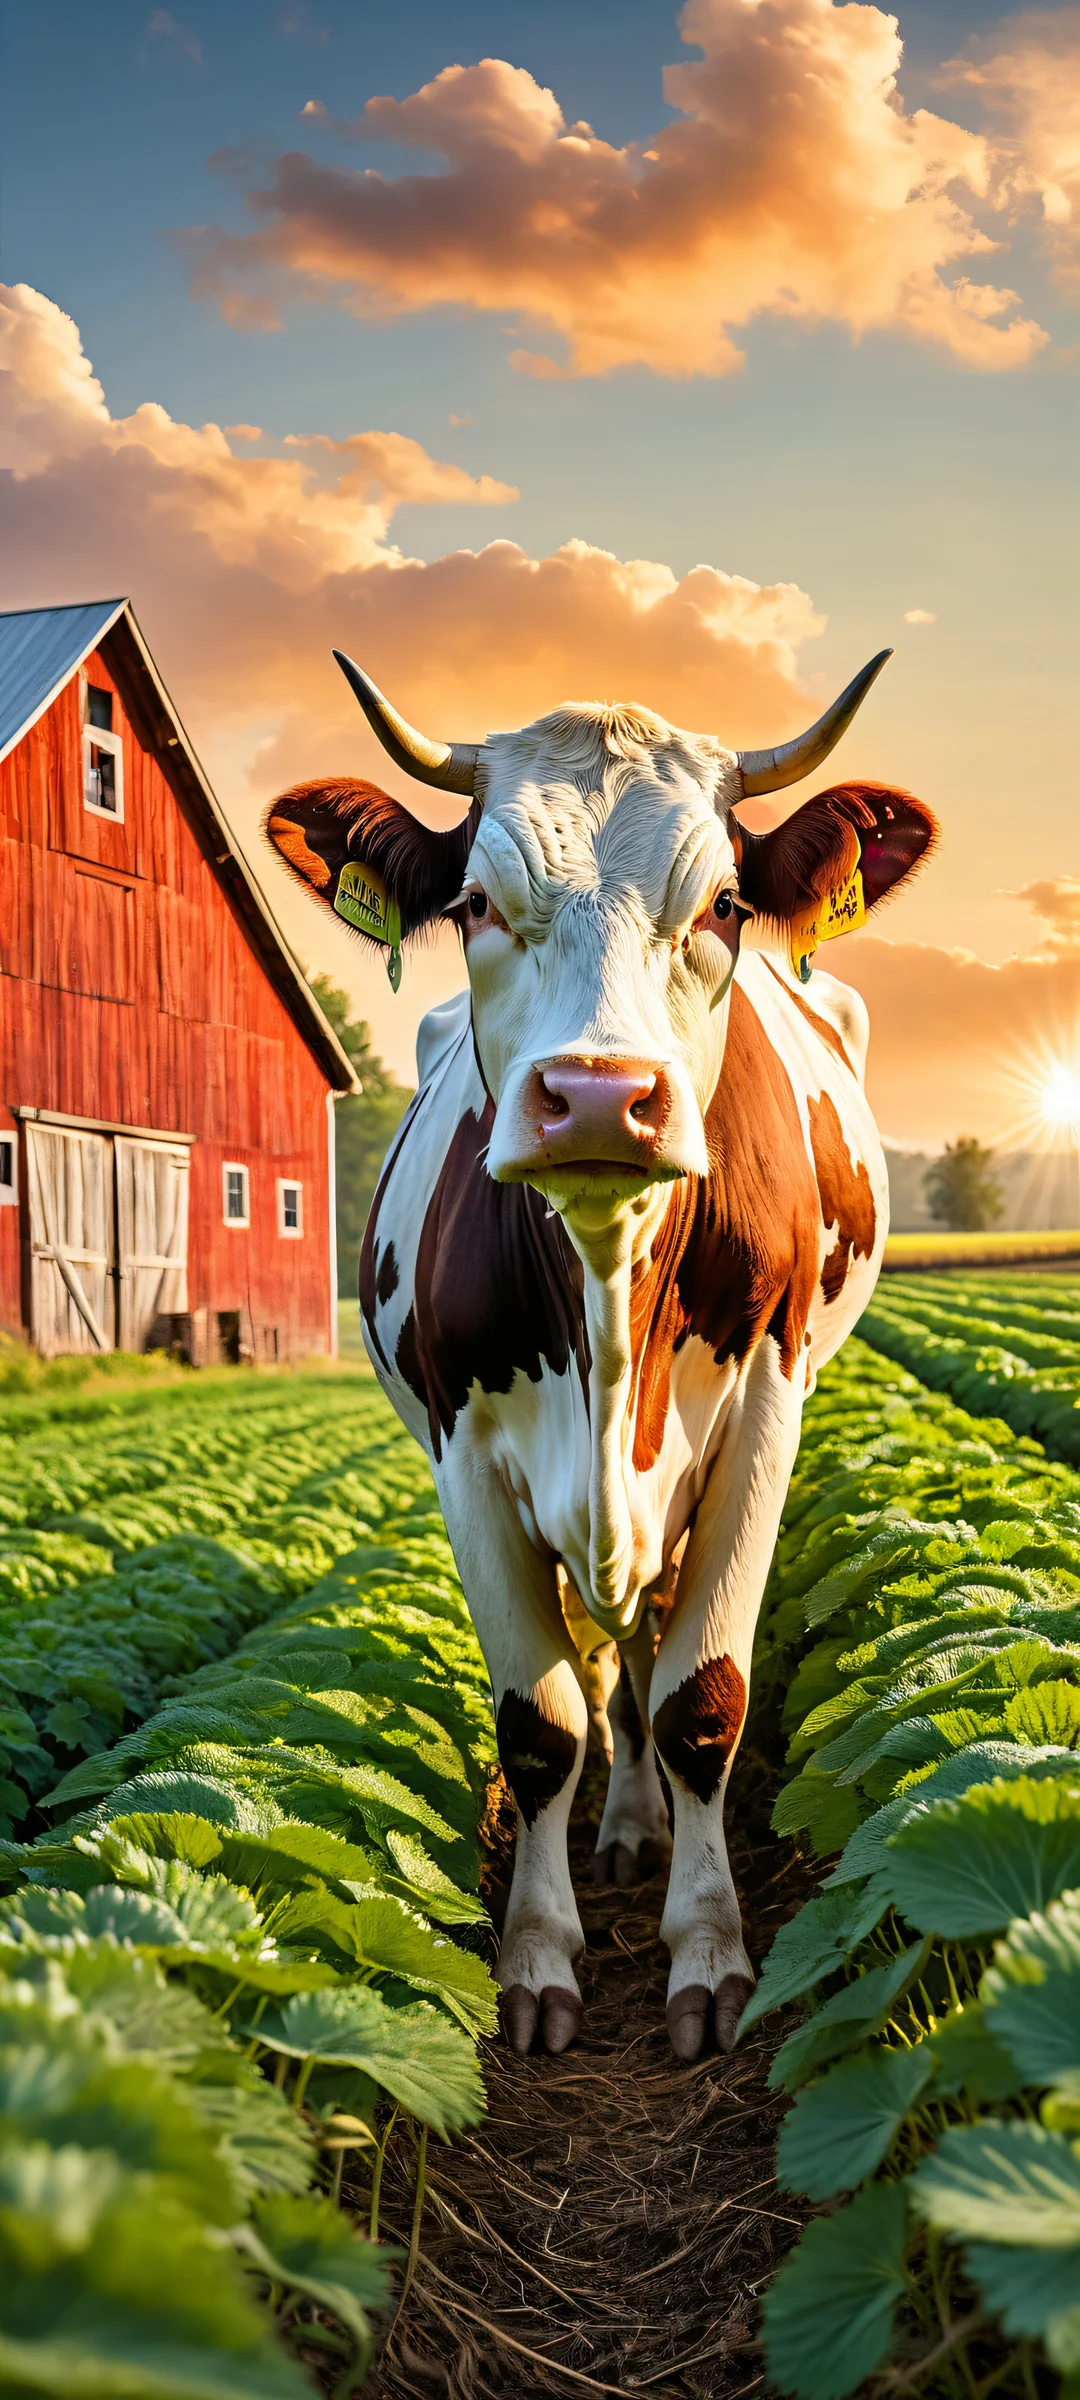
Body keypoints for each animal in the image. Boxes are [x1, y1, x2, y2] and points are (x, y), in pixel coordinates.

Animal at [267, 652, 936, 2063]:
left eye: (725, 901)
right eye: (475, 900)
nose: (596, 1096)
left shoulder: (764, 1424)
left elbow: (703, 1697)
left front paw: (708, 1951)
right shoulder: (466, 1453)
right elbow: (542, 1721)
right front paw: (537, 1954)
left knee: (652, 1646)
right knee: (612, 1663)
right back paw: (622, 1827)